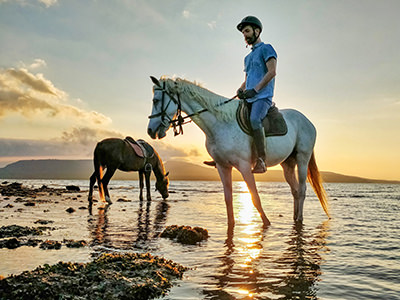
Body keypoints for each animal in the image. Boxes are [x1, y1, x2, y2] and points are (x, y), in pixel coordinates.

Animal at [147, 75, 328, 227]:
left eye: (156, 100)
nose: (150, 131)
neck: (220, 123)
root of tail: (308, 122)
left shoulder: (244, 166)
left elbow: (255, 197)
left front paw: (266, 223)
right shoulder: (222, 166)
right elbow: (228, 199)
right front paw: (231, 226)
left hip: (302, 159)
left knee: (302, 190)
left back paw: (300, 219)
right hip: (288, 164)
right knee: (295, 191)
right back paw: (295, 218)